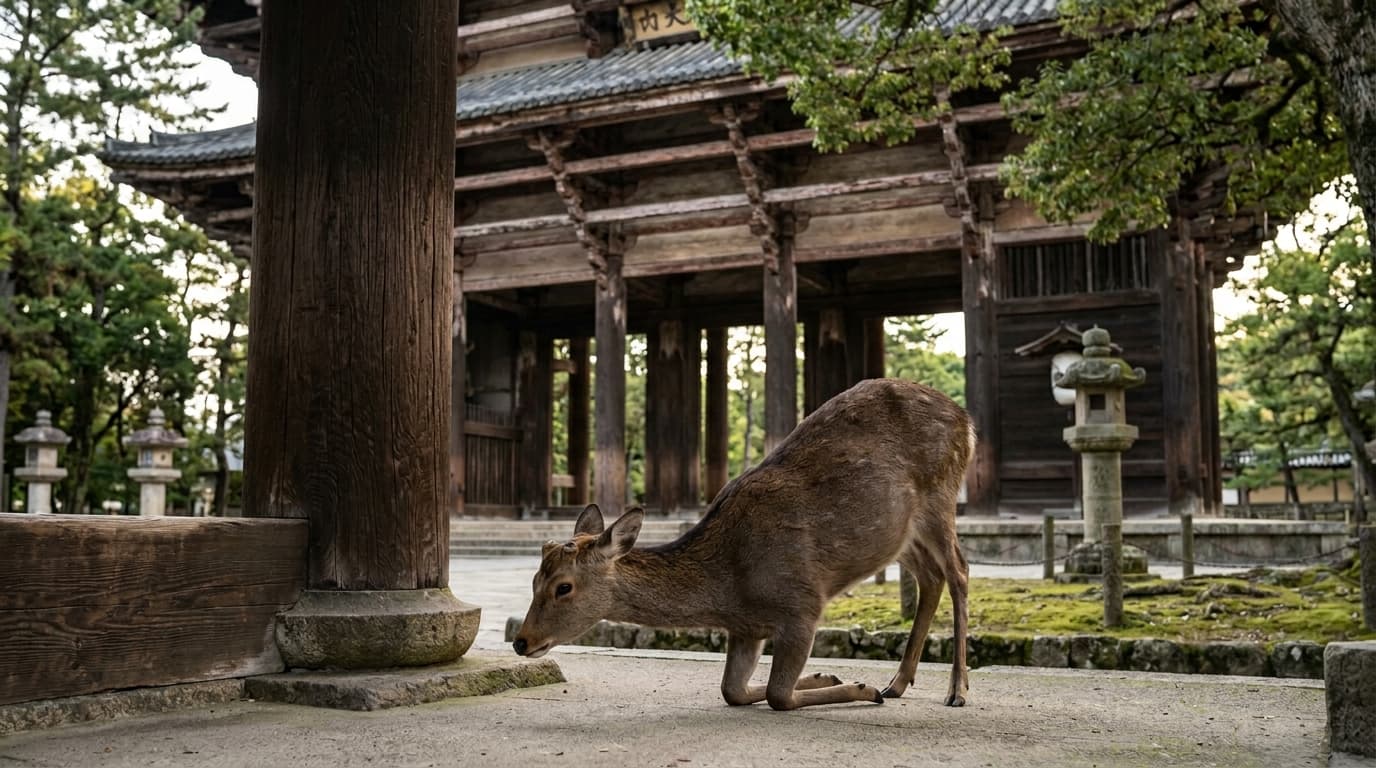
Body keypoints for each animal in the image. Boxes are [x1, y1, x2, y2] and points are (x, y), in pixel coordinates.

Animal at [513, 378, 973, 711]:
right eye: (533, 580)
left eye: (564, 587)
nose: (521, 641)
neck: (731, 590)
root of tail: (966, 420)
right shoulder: (746, 629)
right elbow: (732, 690)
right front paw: (827, 675)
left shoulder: (802, 605)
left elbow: (778, 695)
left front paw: (862, 687)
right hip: (901, 532)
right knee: (930, 577)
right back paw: (897, 683)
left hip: (940, 495)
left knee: (959, 571)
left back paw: (955, 689)